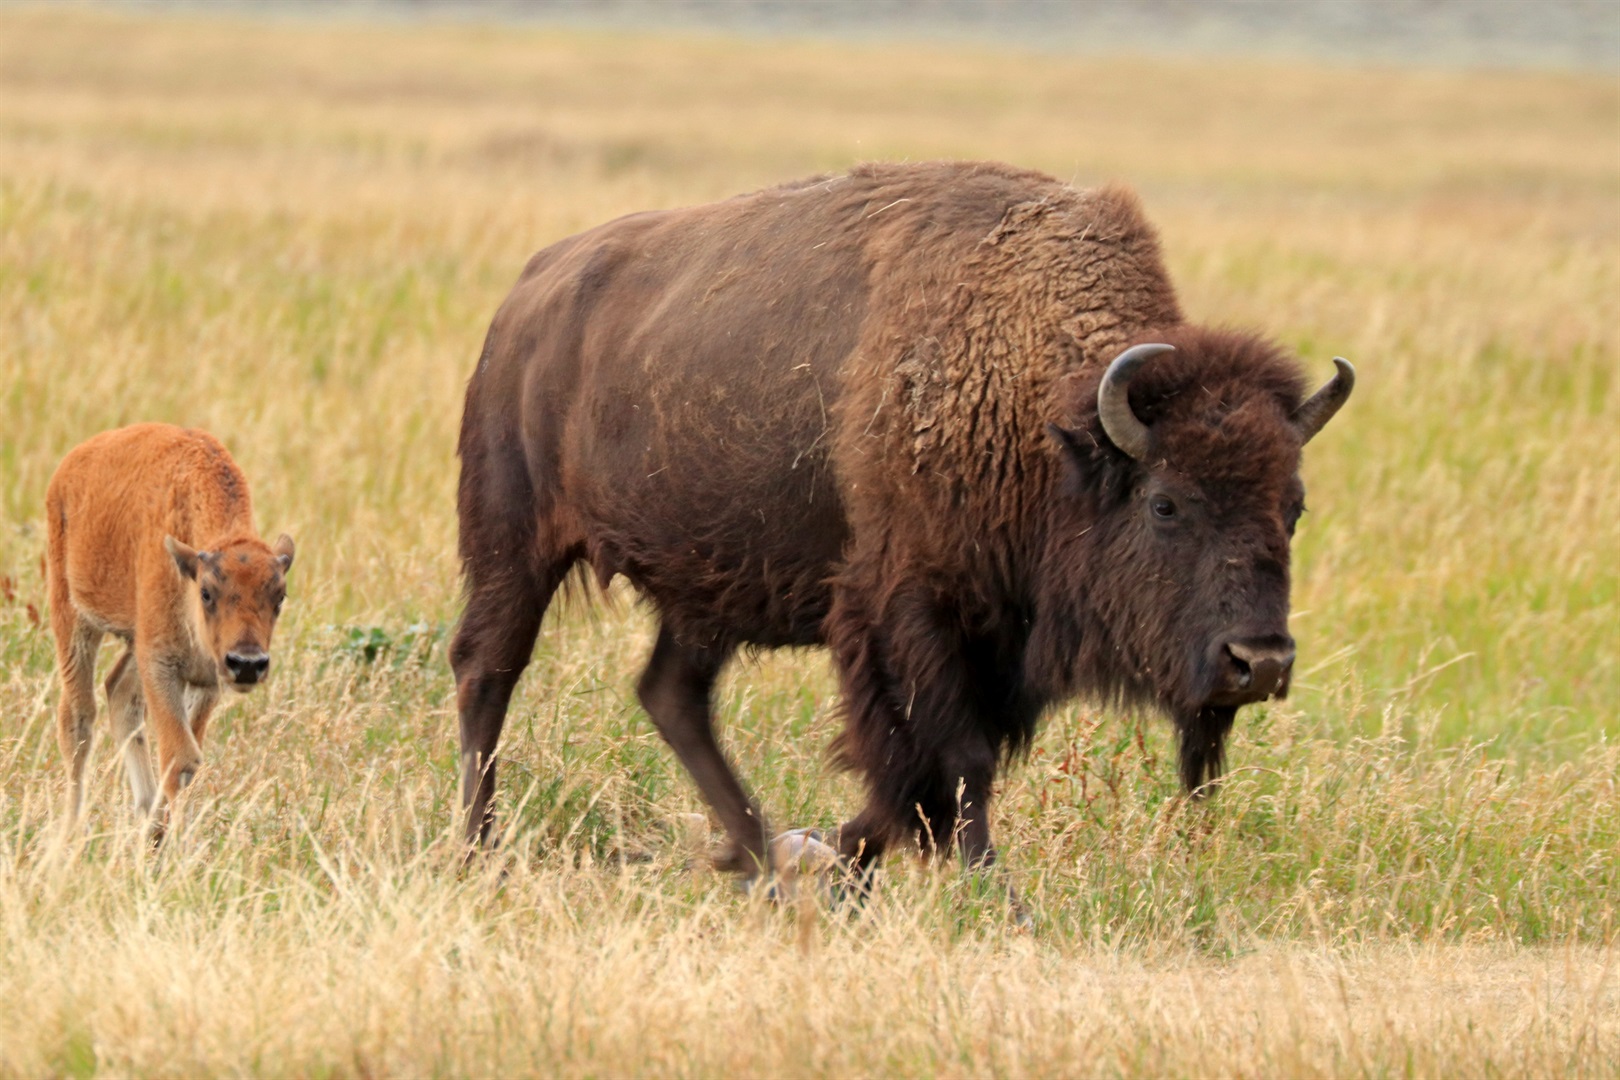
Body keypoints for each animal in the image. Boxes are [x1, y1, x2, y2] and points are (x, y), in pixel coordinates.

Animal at [46, 420, 294, 829]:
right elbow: (180, 759)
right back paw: (70, 833)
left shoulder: (206, 677)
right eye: (207, 592)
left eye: (280, 596)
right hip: (74, 617)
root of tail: (68, 469)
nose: (247, 664)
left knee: (119, 693)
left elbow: (186, 760)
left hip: (135, 641)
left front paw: (161, 832)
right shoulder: (161, 665)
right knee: (78, 721)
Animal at [450, 162, 1347, 887]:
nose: (1260, 662)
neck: (1038, 412)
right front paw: (995, 897)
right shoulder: (911, 614)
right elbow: (951, 765)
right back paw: (476, 848)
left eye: (1293, 507)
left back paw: (756, 855)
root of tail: (529, 292)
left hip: (706, 589)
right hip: (513, 544)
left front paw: (828, 863)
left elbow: (919, 782)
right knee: (487, 670)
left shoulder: (997, 638)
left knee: (671, 694)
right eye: (1165, 503)